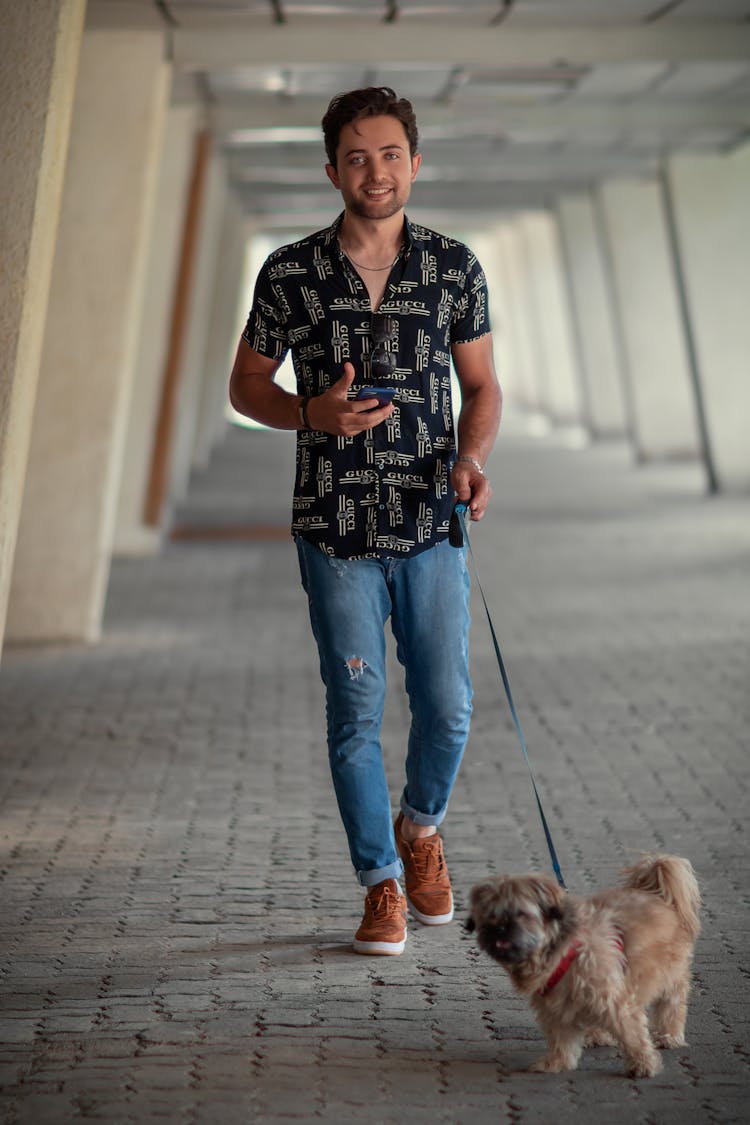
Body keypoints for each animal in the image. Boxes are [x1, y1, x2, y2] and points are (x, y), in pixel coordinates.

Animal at [465, 855, 701, 1075]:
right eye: (488, 914)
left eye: (521, 913)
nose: (498, 928)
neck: (560, 950)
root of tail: (657, 893)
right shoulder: (554, 1006)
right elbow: (560, 1037)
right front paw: (557, 1062)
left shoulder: (615, 1000)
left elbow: (632, 1034)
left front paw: (643, 1064)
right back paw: (597, 1034)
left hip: (670, 973)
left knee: (672, 1004)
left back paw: (669, 1035)